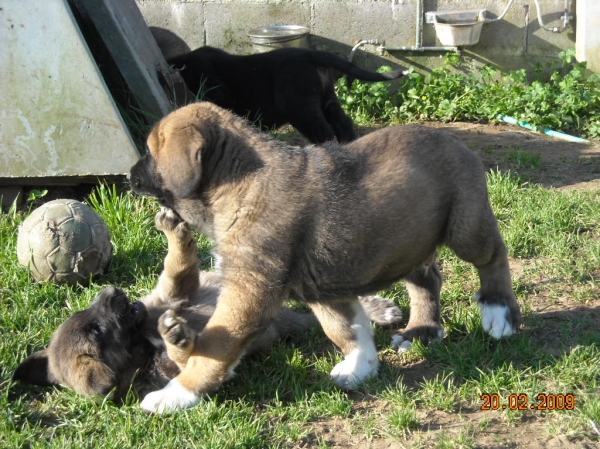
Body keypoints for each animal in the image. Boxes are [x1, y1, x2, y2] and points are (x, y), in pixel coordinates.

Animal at [11, 209, 400, 402]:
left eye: (87, 314)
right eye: (95, 330)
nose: (112, 290)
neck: (143, 337)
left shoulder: (174, 292)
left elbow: (177, 266)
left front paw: (174, 229)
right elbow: (194, 360)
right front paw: (177, 337)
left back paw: (379, 307)